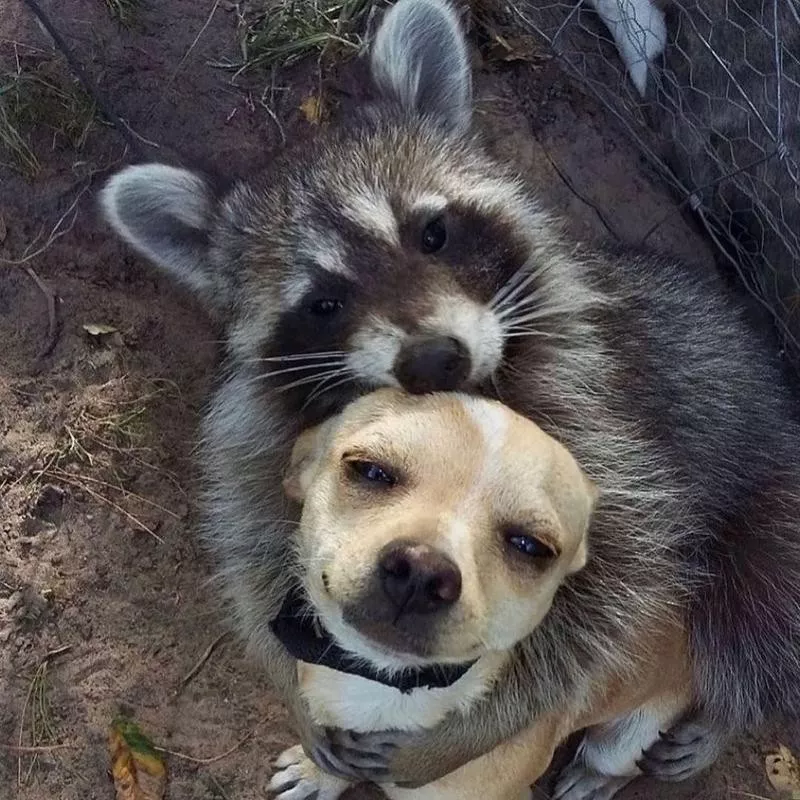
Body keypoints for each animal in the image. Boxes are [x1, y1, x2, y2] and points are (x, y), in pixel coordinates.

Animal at [266, 390, 692, 800]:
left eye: (530, 546)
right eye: (370, 471)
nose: (422, 571)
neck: (384, 684)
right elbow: (334, 758)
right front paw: (317, 773)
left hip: (627, 739)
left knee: (615, 766)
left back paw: (591, 781)